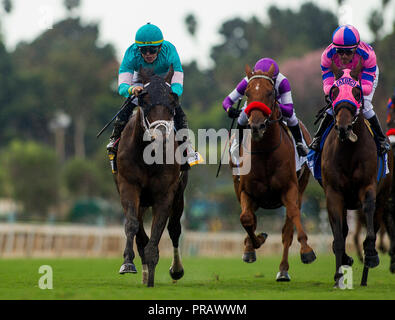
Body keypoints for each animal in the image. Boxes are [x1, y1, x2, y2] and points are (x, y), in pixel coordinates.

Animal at [114, 66, 189, 286]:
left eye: (173, 101)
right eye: (144, 100)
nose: (161, 137)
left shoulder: (166, 193)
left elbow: (159, 229)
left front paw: (153, 264)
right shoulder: (128, 185)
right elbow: (133, 224)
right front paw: (128, 263)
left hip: (179, 195)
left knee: (174, 229)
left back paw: (175, 269)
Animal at [234, 63, 318, 282]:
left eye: (270, 93)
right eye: (247, 92)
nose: (256, 126)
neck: (264, 152)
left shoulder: (290, 189)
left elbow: (293, 217)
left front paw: (307, 250)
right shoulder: (246, 191)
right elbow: (246, 219)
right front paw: (254, 244)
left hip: (301, 188)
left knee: (287, 229)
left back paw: (283, 270)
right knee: (251, 218)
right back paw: (250, 246)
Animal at [324, 61, 394, 286]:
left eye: (356, 91)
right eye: (334, 91)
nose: (344, 128)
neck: (348, 150)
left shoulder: (368, 188)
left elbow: (370, 229)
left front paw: (371, 254)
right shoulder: (333, 193)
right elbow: (339, 237)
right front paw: (338, 274)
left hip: (383, 198)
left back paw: (365, 274)